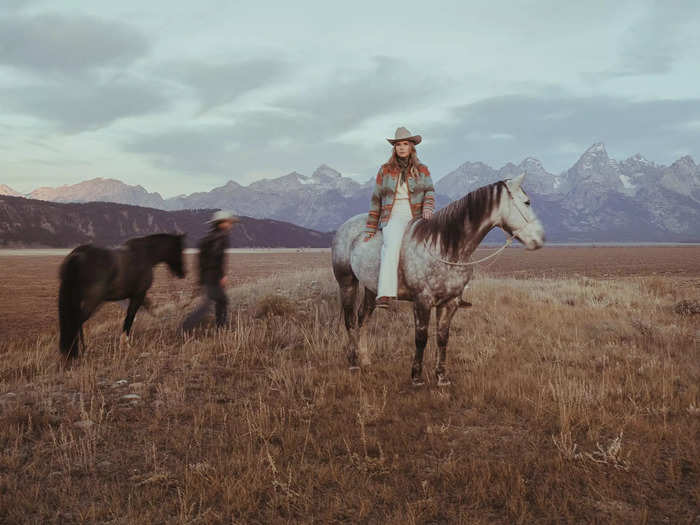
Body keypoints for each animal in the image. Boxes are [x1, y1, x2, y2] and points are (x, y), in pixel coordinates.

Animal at [330, 174, 544, 382]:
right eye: (526, 202)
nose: (540, 239)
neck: (445, 246)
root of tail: (344, 227)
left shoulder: (450, 303)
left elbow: (442, 338)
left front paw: (441, 376)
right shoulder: (422, 301)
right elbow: (421, 337)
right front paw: (416, 376)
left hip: (370, 288)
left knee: (363, 318)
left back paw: (365, 360)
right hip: (347, 283)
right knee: (350, 320)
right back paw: (354, 363)